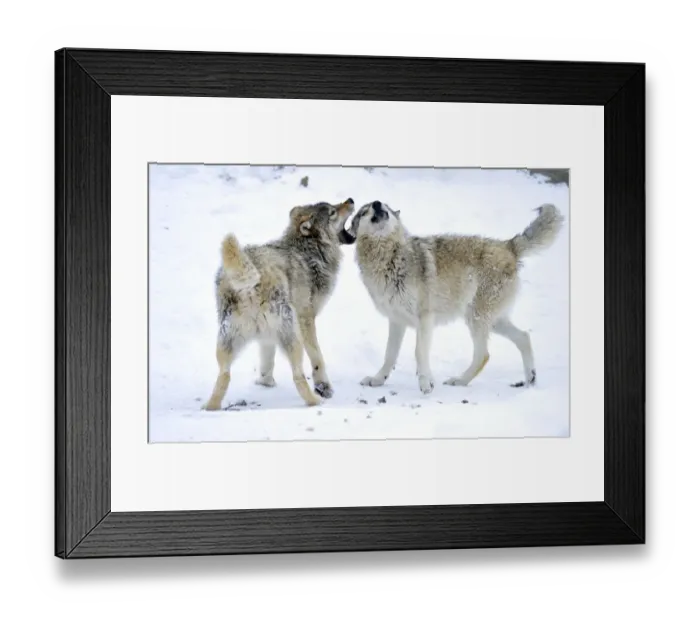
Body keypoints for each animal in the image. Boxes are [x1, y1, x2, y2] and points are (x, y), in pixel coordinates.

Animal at [202, 198, 356, 410]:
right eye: (333, 212)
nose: (350, 200)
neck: (308, 251)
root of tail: (251, 282)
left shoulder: (266, 335)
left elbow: (267, 358)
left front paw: (265, 383)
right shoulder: (306, 318)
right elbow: (317, 357)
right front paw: (323, 387)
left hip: (226, 343)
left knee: (224, 376)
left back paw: (210, 407)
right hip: (292, 337)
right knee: (298, 376)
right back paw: (316, 402)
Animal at [345, 200, 564, 394]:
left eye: (386, 207)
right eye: (364, 211)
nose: (377, 203)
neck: (389, 258)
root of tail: (509, 246)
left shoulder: (425, 318)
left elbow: (419, 352)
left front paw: (426, 384)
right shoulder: (396, 321)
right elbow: (389, 355)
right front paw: (377, 380)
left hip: (477, 319)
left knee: (484, 355)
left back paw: (459, 380)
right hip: (492, 321)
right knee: (524, 337)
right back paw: (530, 380)